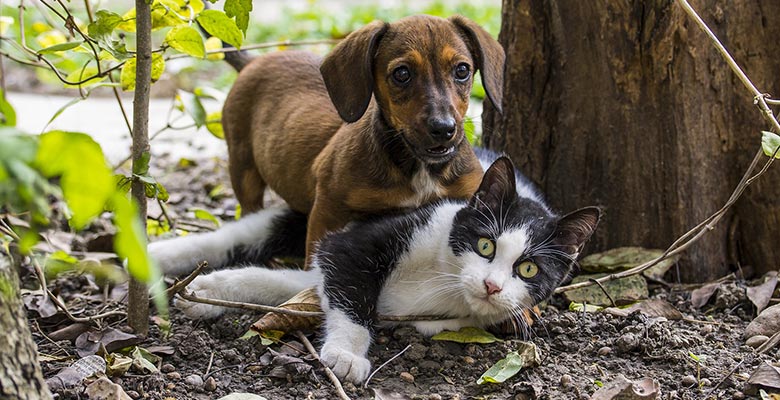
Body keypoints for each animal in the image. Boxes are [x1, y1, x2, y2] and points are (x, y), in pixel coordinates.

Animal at [148, 152, 596, 382]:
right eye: (485, 244)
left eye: (529, 270)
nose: (491, 286)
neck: (445, 278)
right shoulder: (361, 240)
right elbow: (350, 291)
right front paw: (347, 354)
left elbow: (292, 284)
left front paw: (210, 291)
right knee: (242, 234)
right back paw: (156, 256)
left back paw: (198, 290)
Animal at [222, 14, 502, 260]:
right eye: (402, 74)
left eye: (462, 70)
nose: (443, 129)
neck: (418, 168)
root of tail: (253, 62)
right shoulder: (328, 208)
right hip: (243, 168)